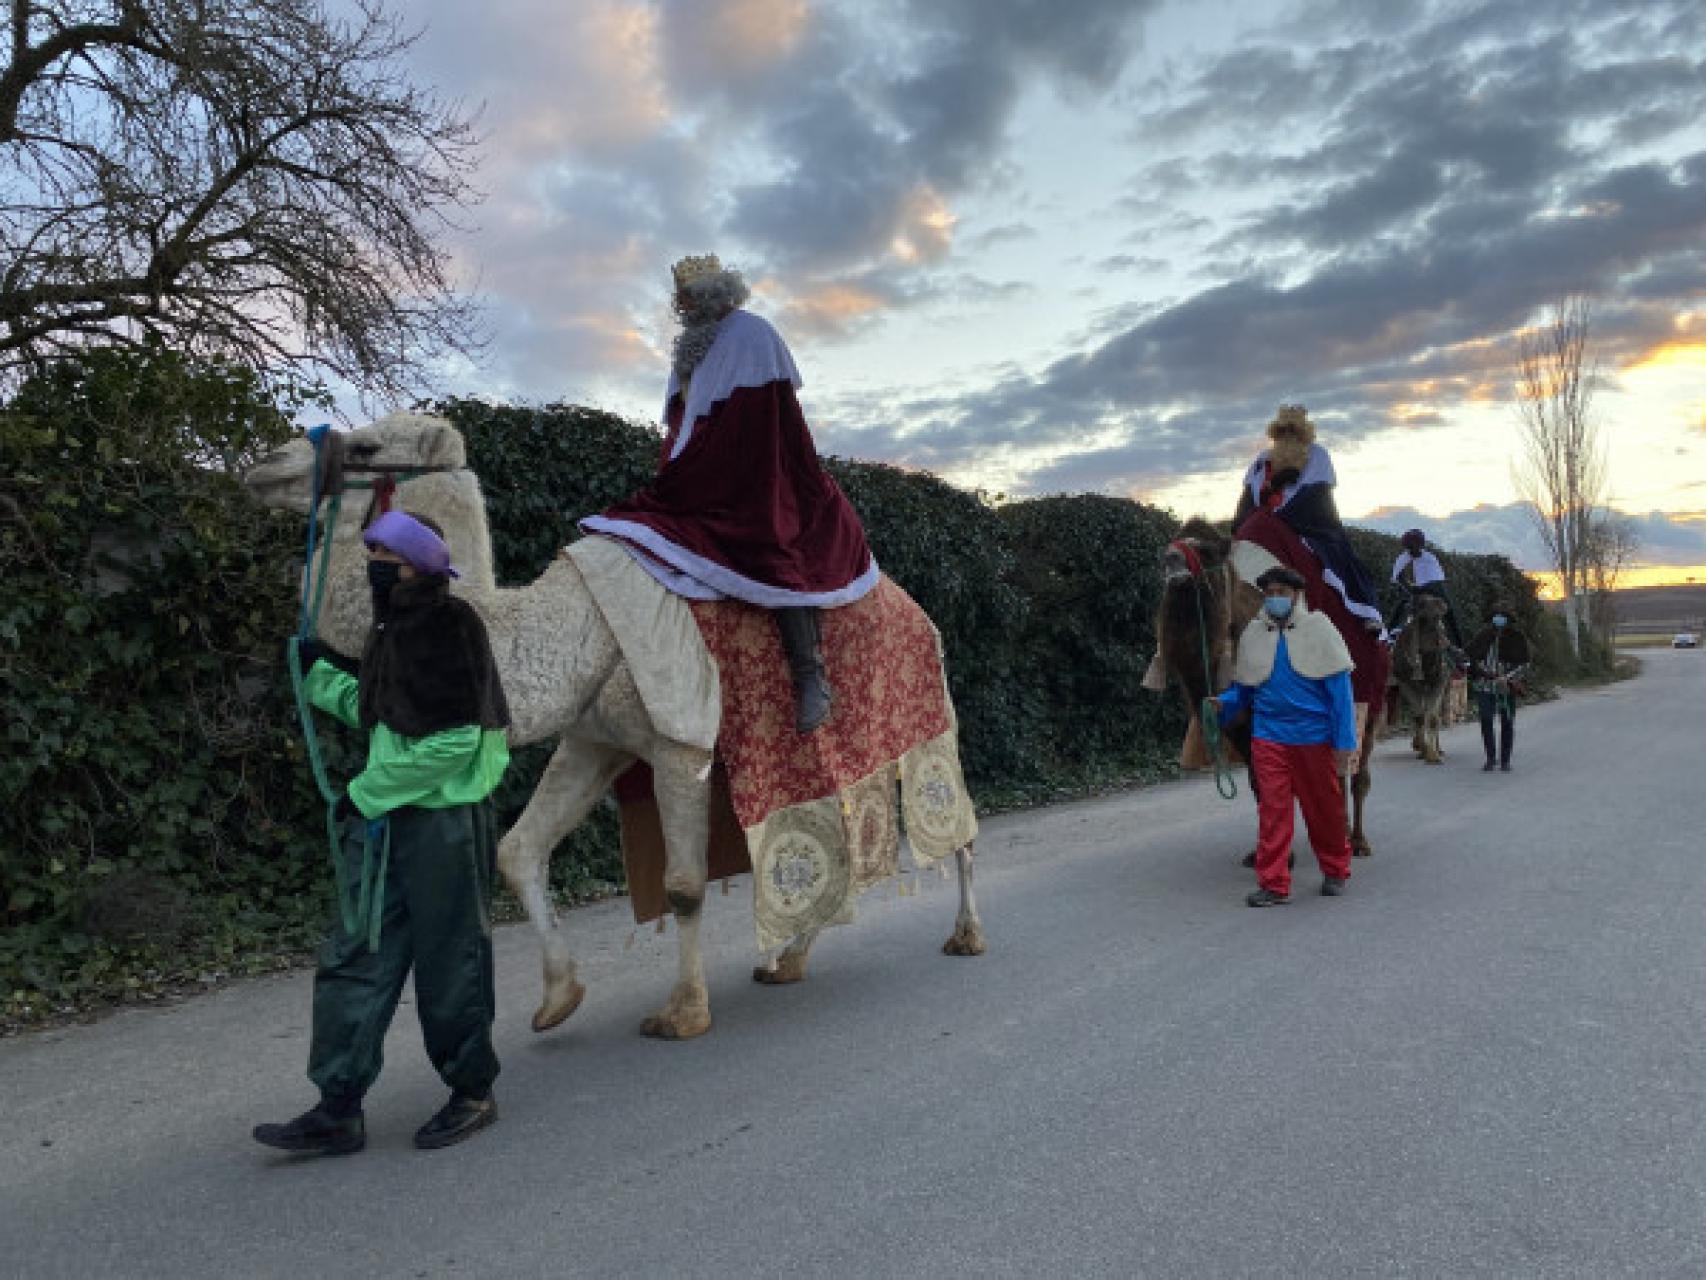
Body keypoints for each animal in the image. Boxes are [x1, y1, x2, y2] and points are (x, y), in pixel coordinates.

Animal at [242, 413, 989, 1044]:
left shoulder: (679, 741)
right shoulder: (592, 737)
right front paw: (557, 998)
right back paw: (788, 962)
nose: (264, 463)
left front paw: (682, 1014)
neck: (574, 629)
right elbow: (518, 850)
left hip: (929, 711)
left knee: (955, 819)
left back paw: (965, 936)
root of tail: (922, 614)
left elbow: (683, 884)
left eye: (368, 446)